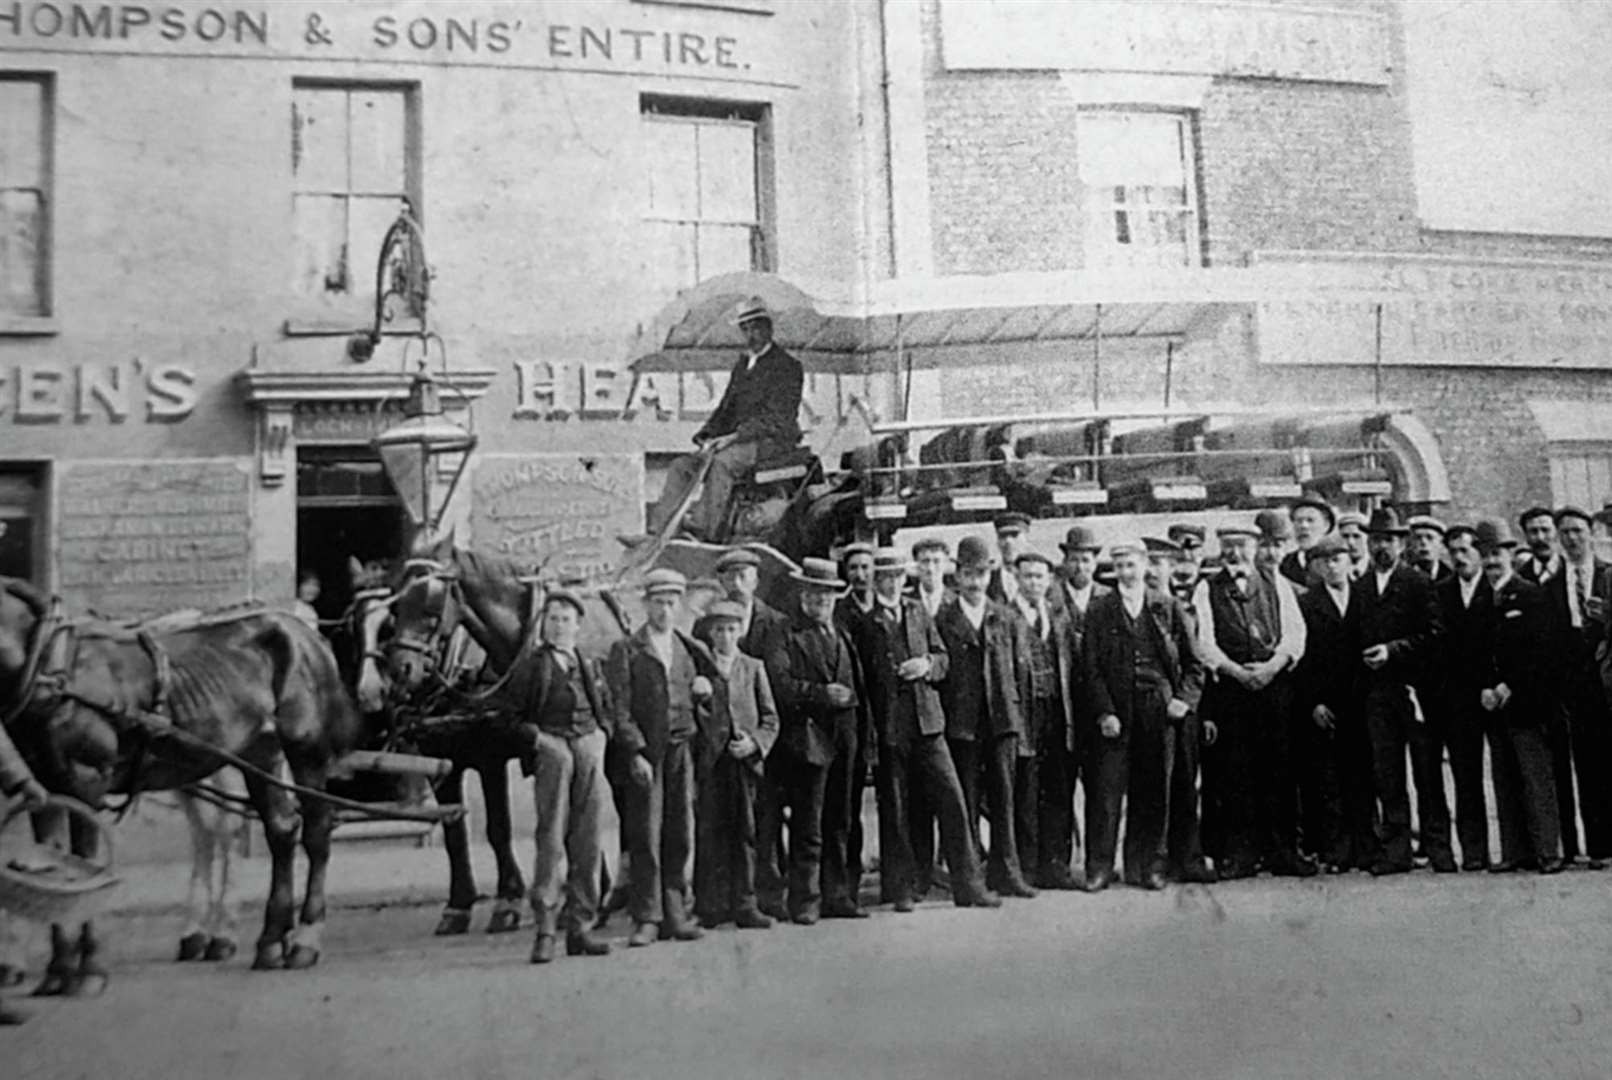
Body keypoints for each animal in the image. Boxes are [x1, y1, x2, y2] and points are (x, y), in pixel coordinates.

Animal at [2, 580, 362, 980]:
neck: (50, 664)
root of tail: (305, 633)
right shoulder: (43, 784)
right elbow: (50, 861)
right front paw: (59, 966)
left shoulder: (86, 779)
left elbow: (84, 862)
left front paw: (85, 967)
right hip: (259, 753)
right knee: (278, 831)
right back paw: (267, 941)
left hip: (304, 749)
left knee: (312, 833)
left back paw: (303, 941)